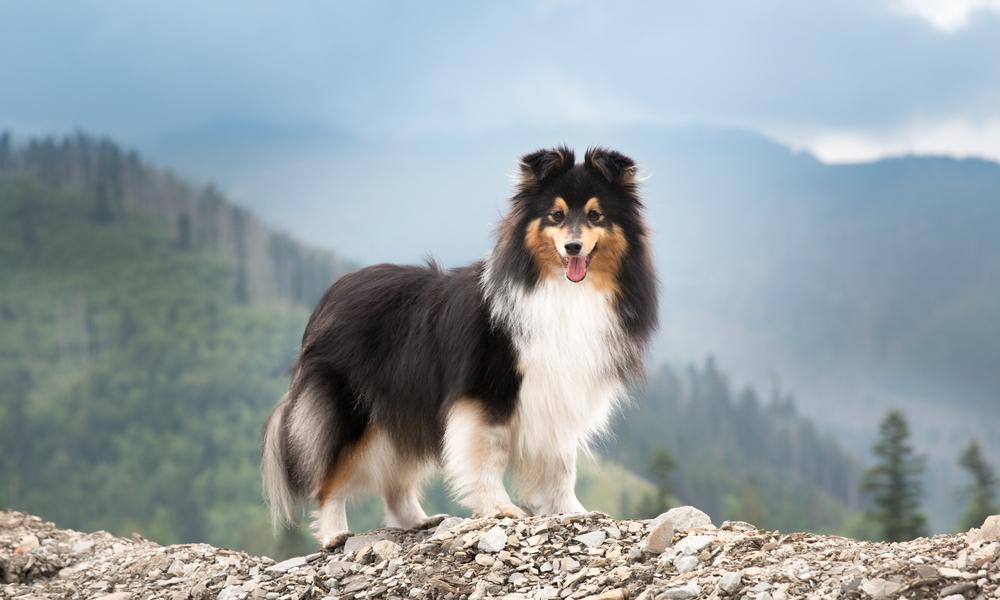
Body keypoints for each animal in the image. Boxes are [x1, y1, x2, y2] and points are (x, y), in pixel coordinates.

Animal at [262, 146, 660, 548]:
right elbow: (490, 455)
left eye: (595, 215)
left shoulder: (559, 394)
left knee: (396, 477)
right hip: (352, 410)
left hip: (404, 406)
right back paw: (334, 534)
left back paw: (418, 520)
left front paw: (574, 511)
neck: (562, 290)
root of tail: (330, 296)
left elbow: (563, 465)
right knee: (329, 476)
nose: (573, 247)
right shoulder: (487, 393)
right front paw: (501, 508)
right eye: (556, 215)